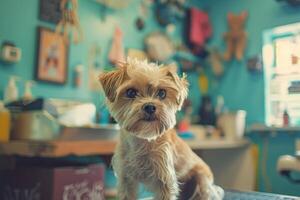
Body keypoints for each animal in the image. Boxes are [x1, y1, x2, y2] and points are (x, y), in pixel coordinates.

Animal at [99, 58, 224, 199]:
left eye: (162, 93)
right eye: (131, 92)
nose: (149, 106)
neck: (144, 139)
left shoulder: (165, 181)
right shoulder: (125, 179)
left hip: (202, 179)